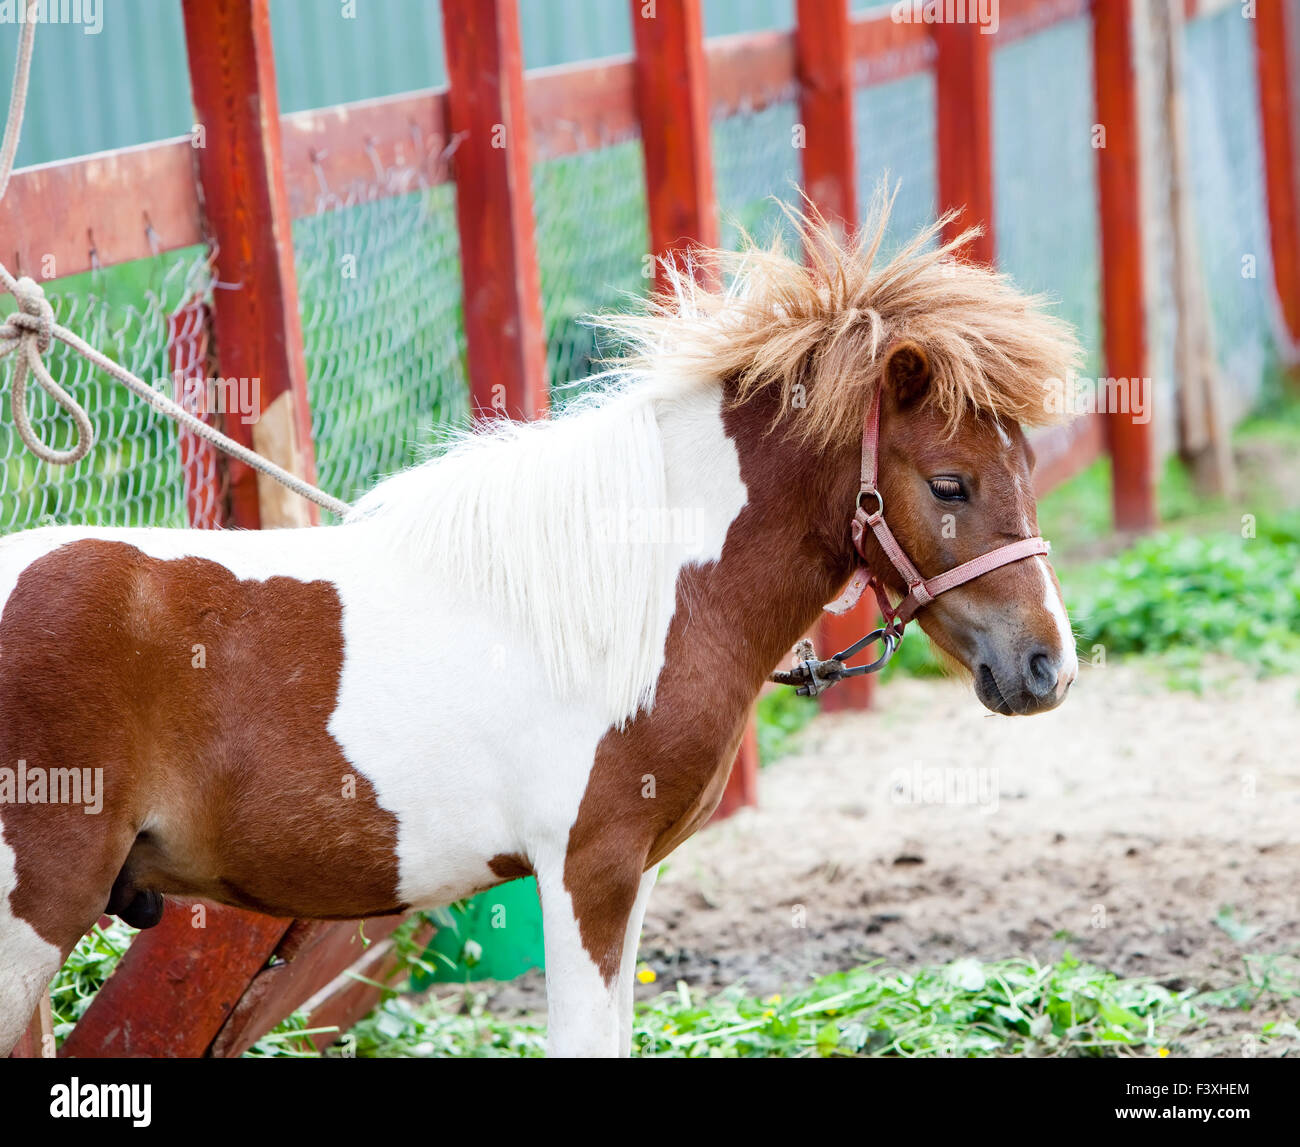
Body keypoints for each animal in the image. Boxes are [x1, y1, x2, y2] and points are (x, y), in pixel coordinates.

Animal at [0, 198, 1076, 1055]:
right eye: (950, 483)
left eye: (1027, 466)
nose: (1047, 667)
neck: (632, 596)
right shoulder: (585, 875)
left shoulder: (625, 881)